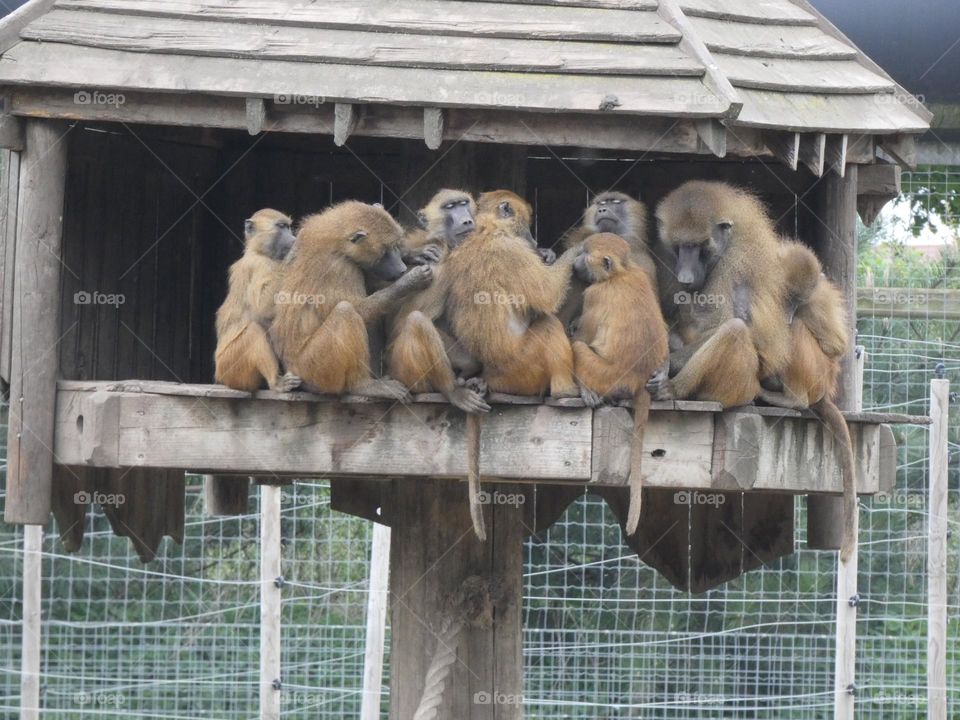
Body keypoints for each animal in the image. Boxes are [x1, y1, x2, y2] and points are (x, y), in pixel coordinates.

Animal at [214, 209, 302, 393]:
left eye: (288, 227)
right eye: (281, 226)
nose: (293, 239)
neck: (258, 251)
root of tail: (220, 378)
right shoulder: (259, 266)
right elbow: (263, 307)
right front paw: (293, 253)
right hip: (229, 367)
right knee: (253, 331)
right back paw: (276, 383)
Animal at [270, 201, 432, 401]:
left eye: (396, 245)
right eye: (385, 251)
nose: (401, 269)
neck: (336, 241)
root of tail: (291, 369)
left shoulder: (301, 237)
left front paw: (413, 255)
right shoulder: (340, 268)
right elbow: (360, 310)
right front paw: (410, 281)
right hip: (312, 367)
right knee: (346, 312)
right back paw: (364, 386)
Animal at [571, 233, 668, 535]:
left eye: (585, 253)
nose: (576, 261)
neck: (621, 273)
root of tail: (638, 378)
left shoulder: (595, 295)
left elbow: (581, 336)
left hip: (604, 374)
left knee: (580, 348)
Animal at [646, 181, 791, 408]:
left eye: (699, 247)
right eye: (679, 247)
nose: (685, 277)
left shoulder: (736, 261)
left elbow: (719, 324)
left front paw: (665, 366)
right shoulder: (665, 254)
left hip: (740, 386)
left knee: (734, 329)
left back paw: (673, 389)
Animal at [758, 240, 857, 562]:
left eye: (795, 300)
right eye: (785, 296)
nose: (789, 310)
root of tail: (824, 389)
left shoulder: (814, 300)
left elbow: (836, 344)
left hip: (817, 373)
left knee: (798, 331)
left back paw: (794, 400)